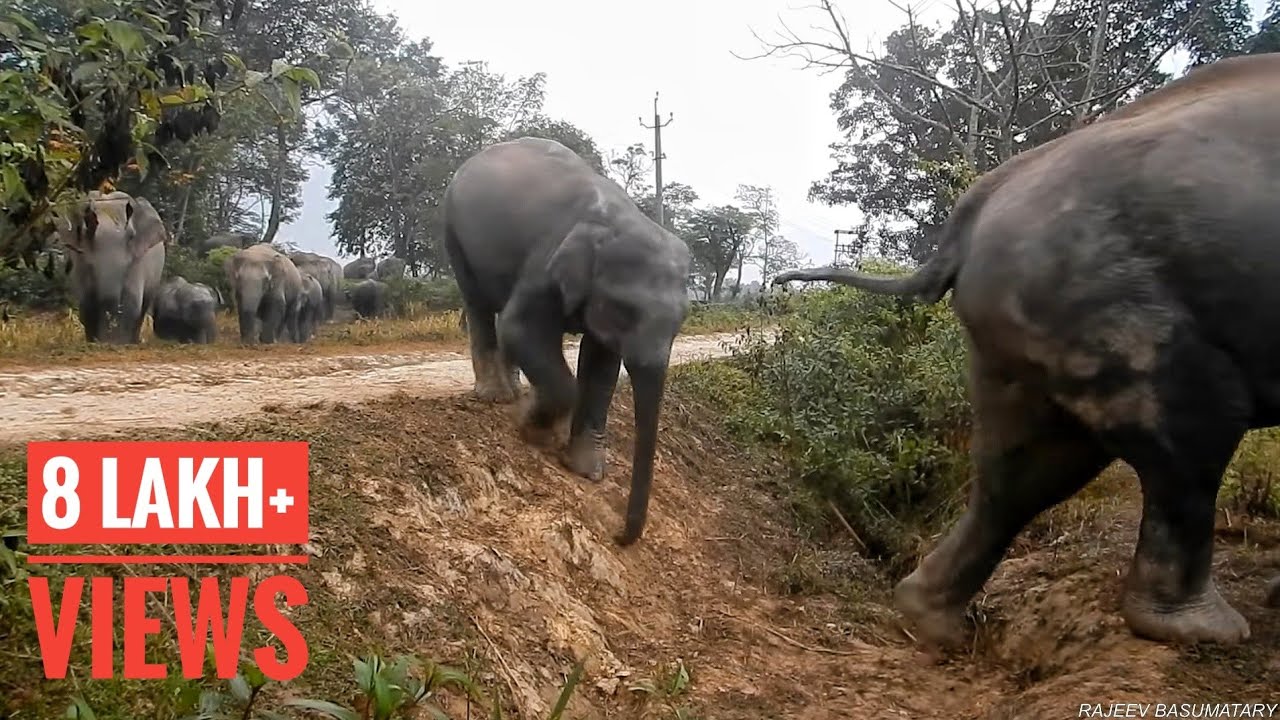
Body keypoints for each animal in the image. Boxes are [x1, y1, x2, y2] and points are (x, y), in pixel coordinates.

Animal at [50, 190, 167, 344]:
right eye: (86, 232)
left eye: (131, 236)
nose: (107, 337)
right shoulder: (80, 260)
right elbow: (86, 302)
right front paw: (97, 341)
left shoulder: (138, 260)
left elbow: (132, 301)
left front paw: (118, 342)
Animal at [442, 136, 692, 546]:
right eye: (624, 310)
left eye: (681, 320)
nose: (617, 536)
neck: (616, 219)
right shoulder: (546, 262)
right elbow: (519, 329)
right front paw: (533, 429)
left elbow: (602, 365)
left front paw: (587, 471)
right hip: (453, 232)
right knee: (478, 303)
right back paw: (496, 396)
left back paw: (512, 391)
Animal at [771, 53, 1280, 648]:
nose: (777, 285)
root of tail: (978, 204)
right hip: (1096, 291)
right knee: (1192, 431)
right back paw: (1207, 631)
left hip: (1037, 308)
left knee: (1026, 462)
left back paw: (931, 624)